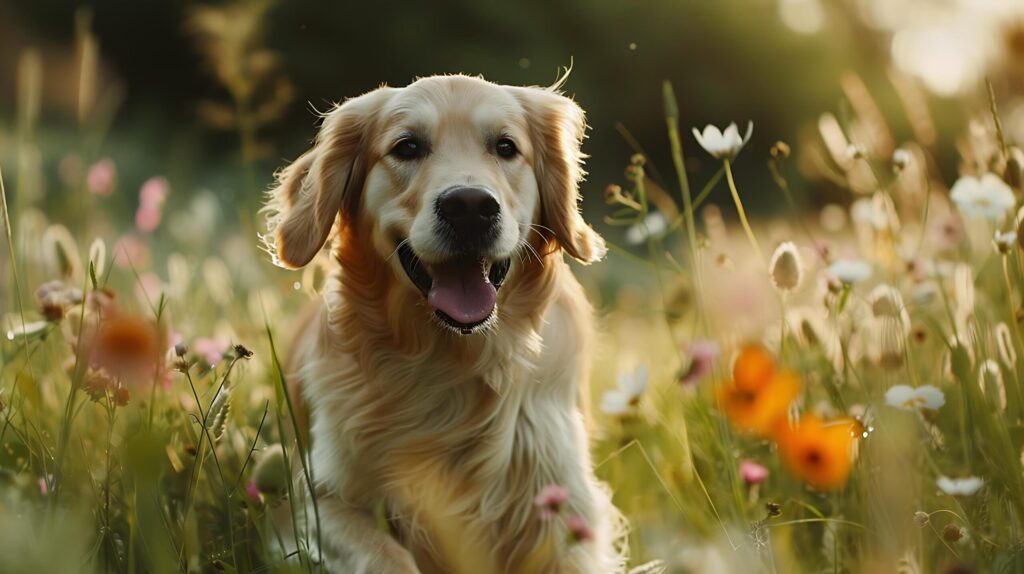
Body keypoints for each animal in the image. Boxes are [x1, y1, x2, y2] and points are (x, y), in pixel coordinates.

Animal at [264, 73, 622, 568]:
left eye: (506, 147)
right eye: (407, 147)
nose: (469, 206)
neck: (452, 360)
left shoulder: (567, 505)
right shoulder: (319, 500)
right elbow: (386, 555)